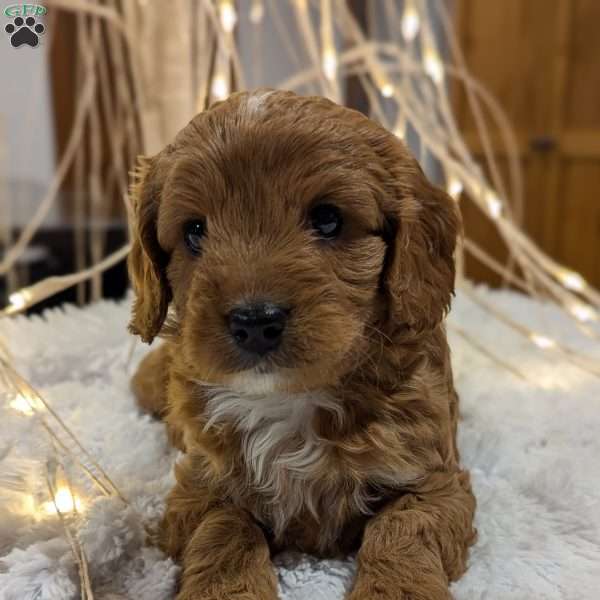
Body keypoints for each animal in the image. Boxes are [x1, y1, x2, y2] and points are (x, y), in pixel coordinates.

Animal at [129, 89, 476, 600]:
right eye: (194, 230)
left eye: (328, 219)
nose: (255, 321)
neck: (288, 396)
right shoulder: (197, 486)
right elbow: (227, 527)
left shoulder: (436, 481)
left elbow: (401, 530)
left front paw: (395, 589)